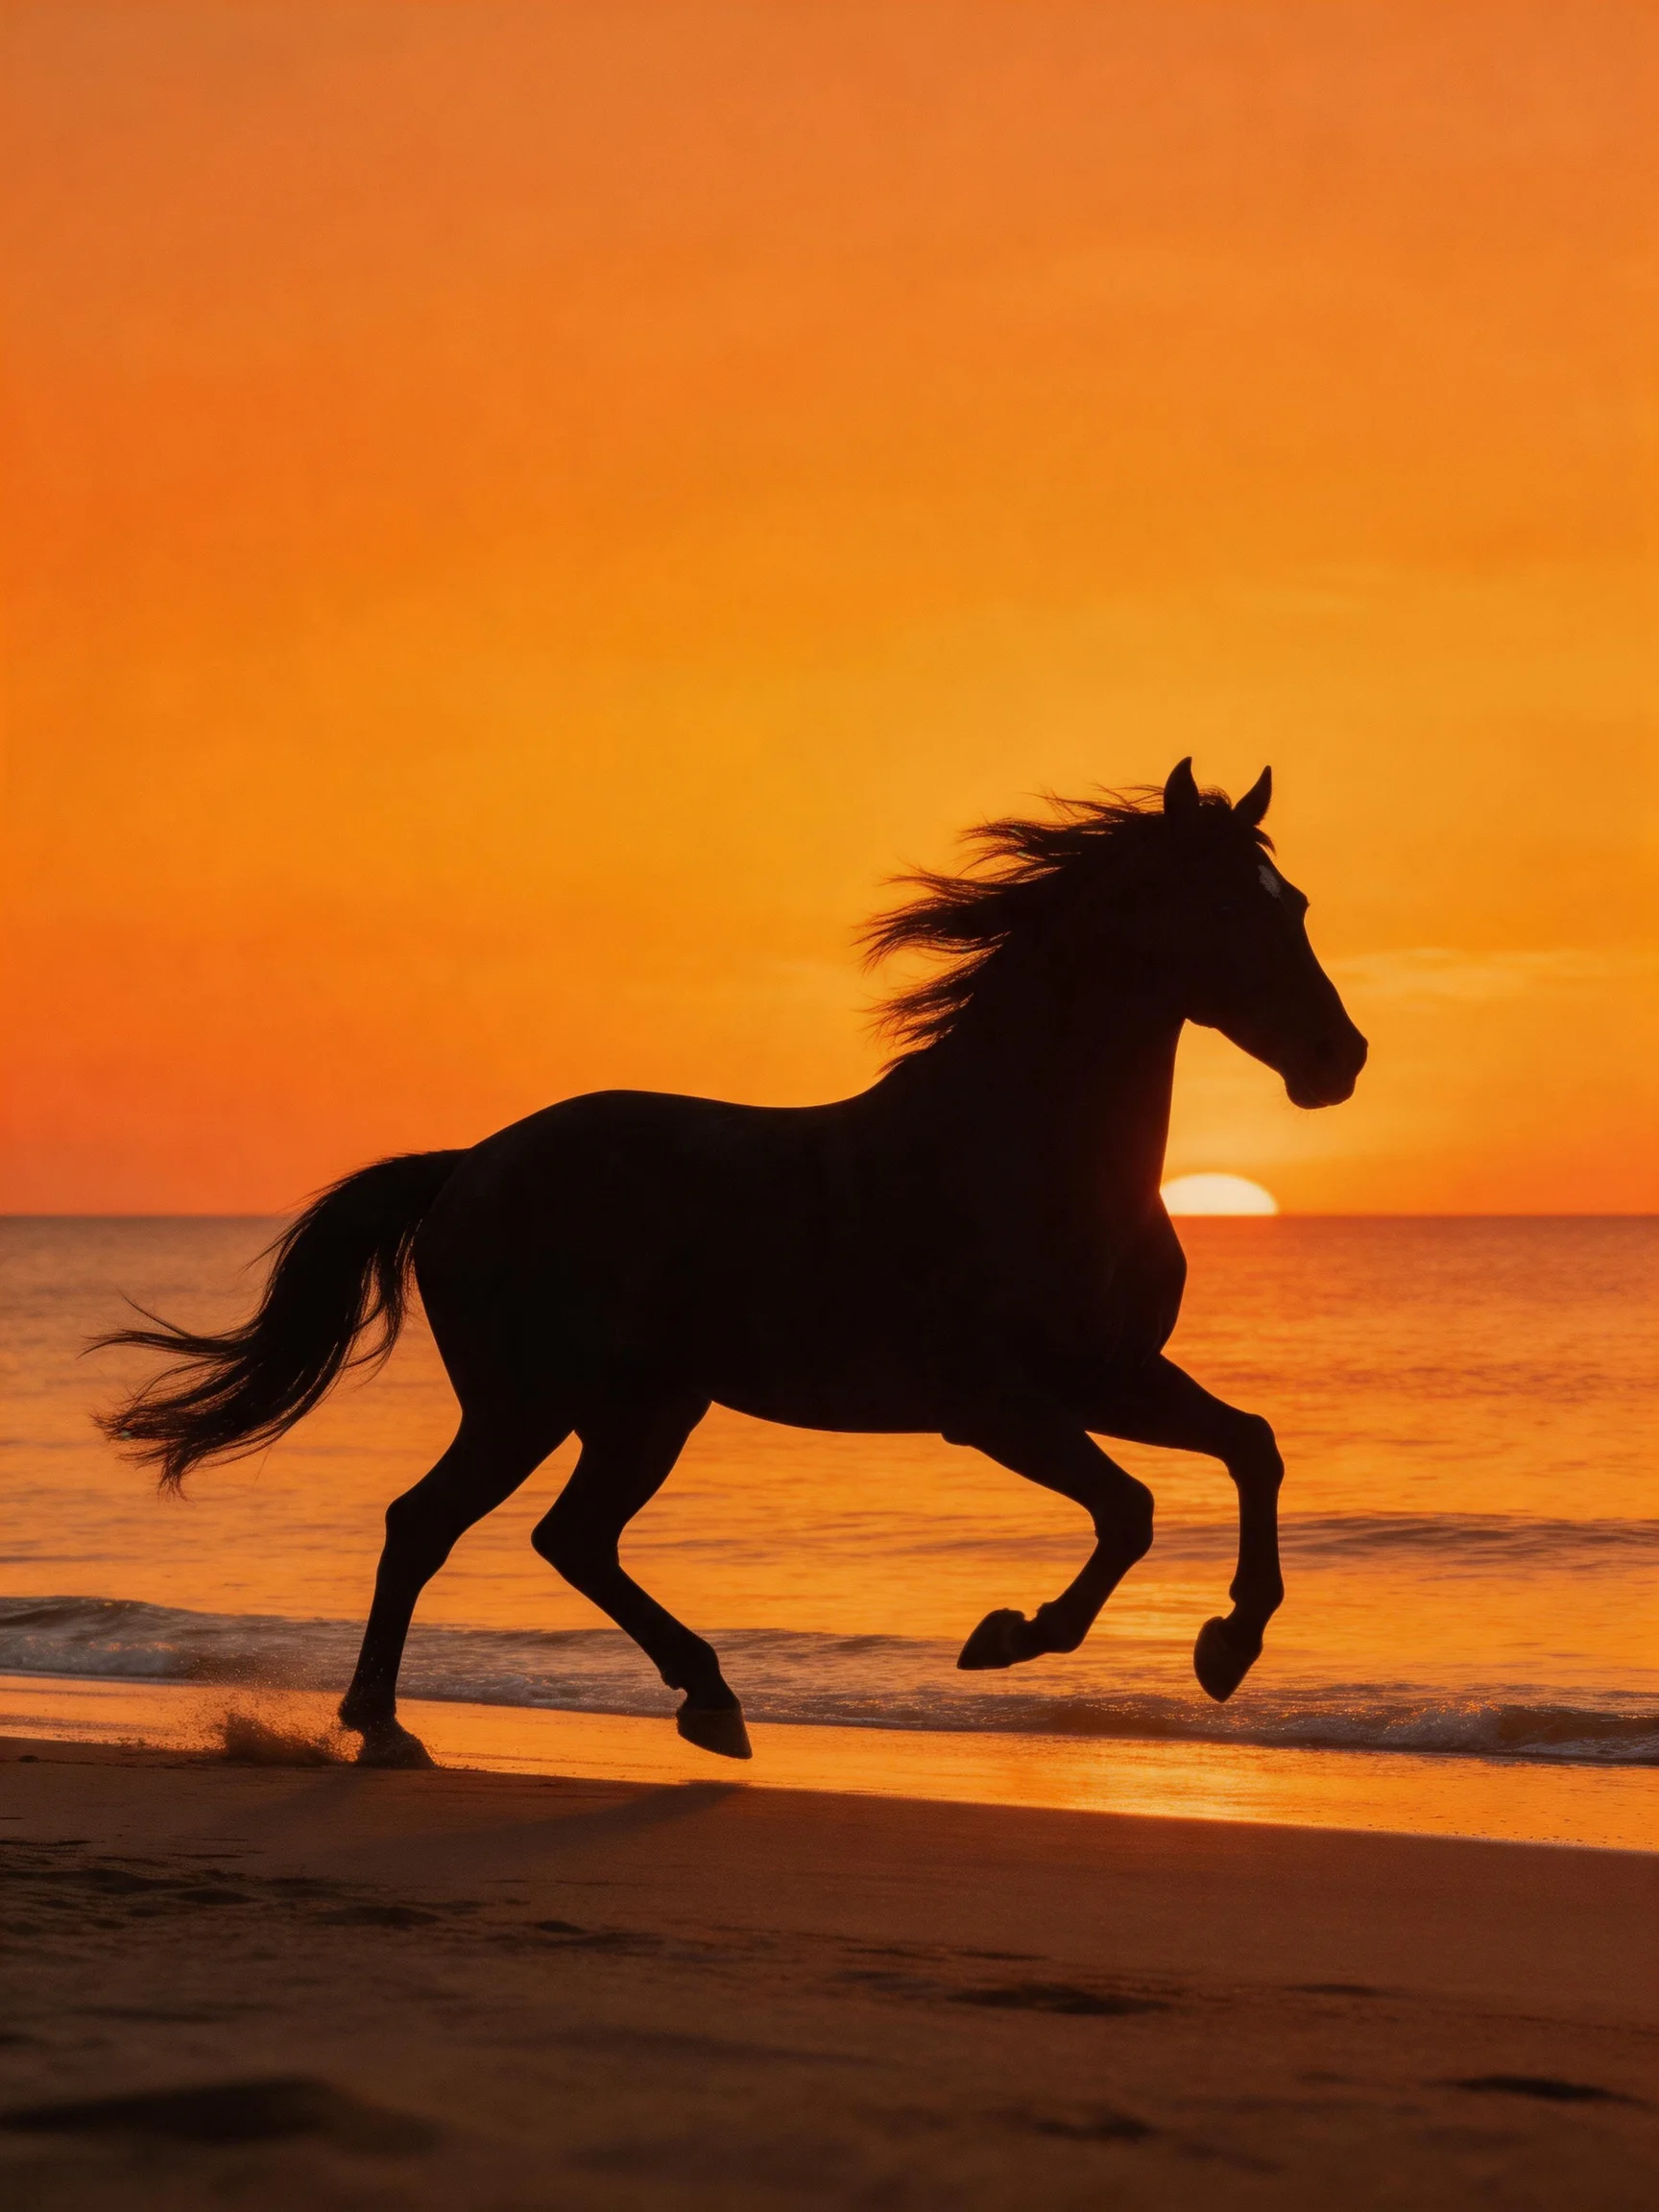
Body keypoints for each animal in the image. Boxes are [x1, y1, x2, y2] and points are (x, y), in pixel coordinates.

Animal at [97, 759, 1367, 1767]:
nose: (1338, 1059)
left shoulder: (1114, 1377)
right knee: (431, 1525)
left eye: (1296, 901)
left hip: (644, 1409)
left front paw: (1228, 1647)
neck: (1027, 1150)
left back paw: (703, 1700)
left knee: (566, 1538)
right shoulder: (1000, 1408)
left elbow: (1252, 1448)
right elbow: (1134, 1510)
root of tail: (469, 1168)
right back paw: (389, 1724)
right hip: (532, 1402)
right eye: (1223, 905)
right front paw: (1011, 1637)